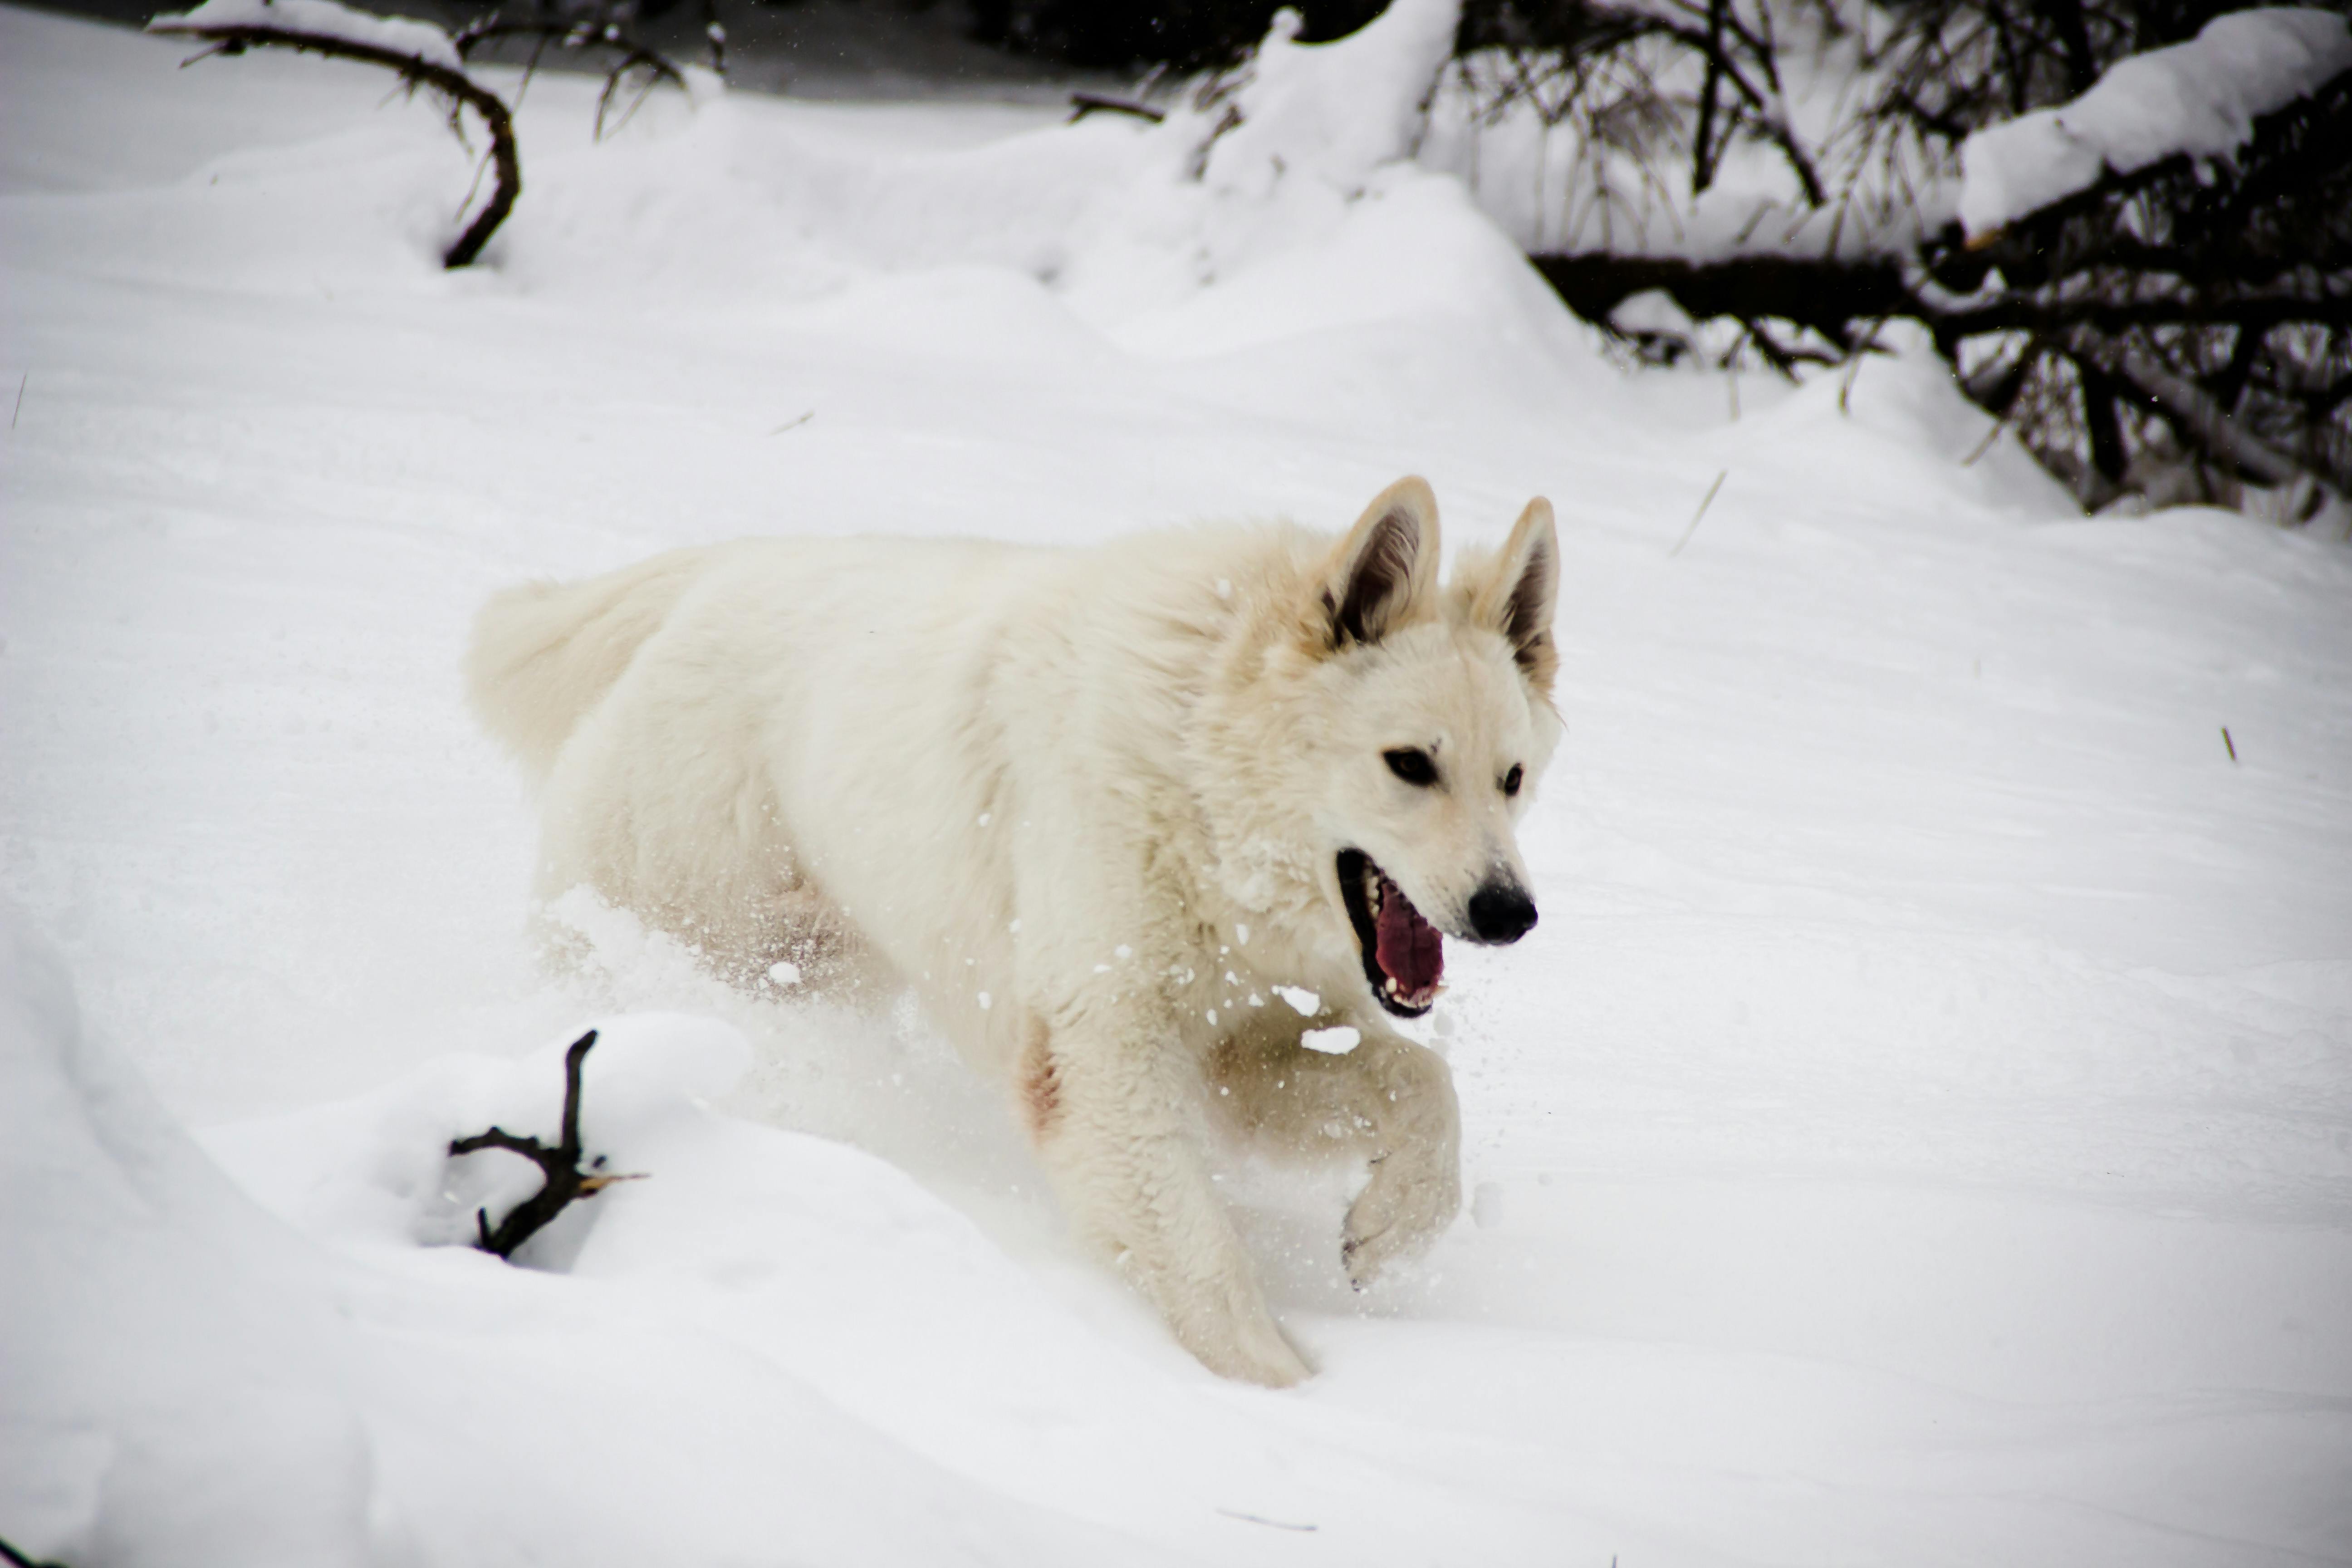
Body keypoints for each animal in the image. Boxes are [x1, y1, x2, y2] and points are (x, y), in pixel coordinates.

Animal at [466, 480, 1552, 1382]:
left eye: (1512, 778)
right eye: (1409, 764)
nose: (1511, 915)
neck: (1197, 767)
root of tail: (715, 573)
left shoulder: (1247, 1048)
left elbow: (1424, 1087)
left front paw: (1392, 1230)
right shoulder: (1101, 1057)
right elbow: (1200, 1258)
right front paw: (1281, 1398)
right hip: (669, 919)